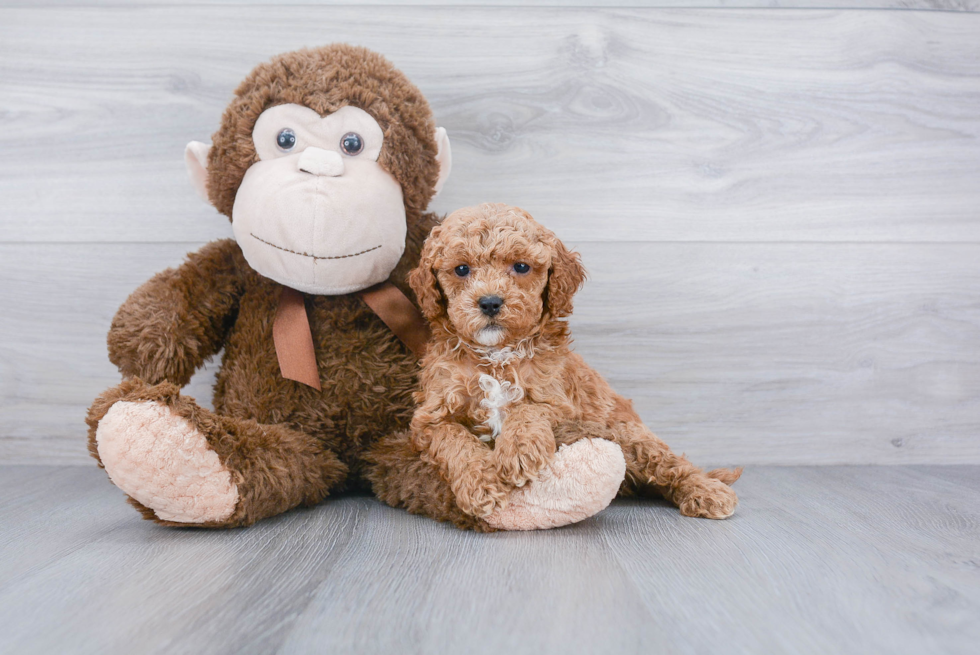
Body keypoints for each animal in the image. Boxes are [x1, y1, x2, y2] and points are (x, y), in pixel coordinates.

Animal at [408, 205, 744, 524]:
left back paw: (707, 491)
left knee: (672, 466)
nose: (490, 302)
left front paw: (518, 451)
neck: (496, 356)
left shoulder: (561, 404)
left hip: (628, 434)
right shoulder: (431, 418)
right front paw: (481, 486)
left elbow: (528, 409)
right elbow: (456, 441)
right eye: (461, 269)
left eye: (521, 266)